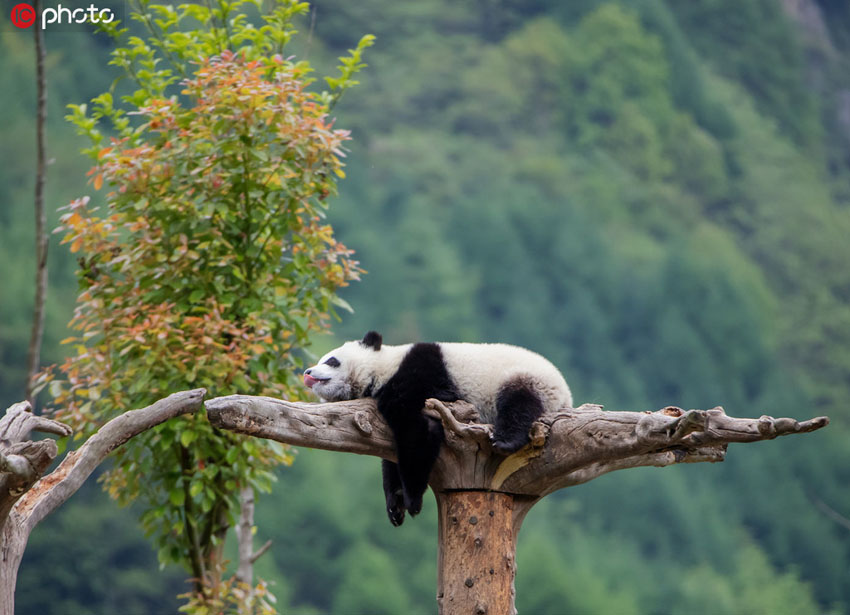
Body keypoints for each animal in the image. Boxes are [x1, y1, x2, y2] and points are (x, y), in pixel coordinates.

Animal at [302, 330, 572, 528]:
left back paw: (505, 439)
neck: (384, 368)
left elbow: (416, 431)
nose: (307, 372)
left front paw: (412, 500)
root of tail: (565, 396)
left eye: (332, 360)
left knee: (519, 403)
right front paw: (395, 505)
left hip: (527, 379)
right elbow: (393, 453)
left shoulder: (420, 376)